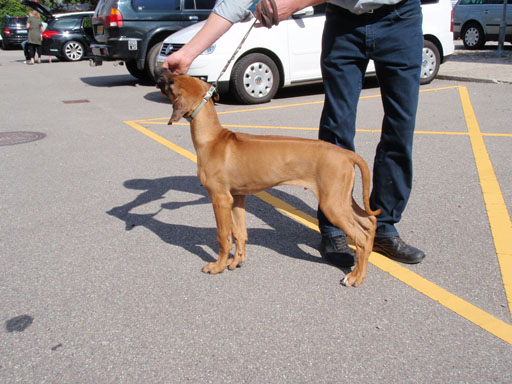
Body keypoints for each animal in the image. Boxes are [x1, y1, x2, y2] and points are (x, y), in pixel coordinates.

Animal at [156, 69, 380, 286]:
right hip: (342, 198)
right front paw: (236, 261)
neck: (212, 139)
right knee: (369, 222)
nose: (160, 71)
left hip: (332, 204)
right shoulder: (237, 198)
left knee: (360, 238)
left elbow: (223, 236)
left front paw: (217, 266)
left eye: (172, 82)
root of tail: (346, 154)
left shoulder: (220, 199)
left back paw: (355, 278)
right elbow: (240, 233)